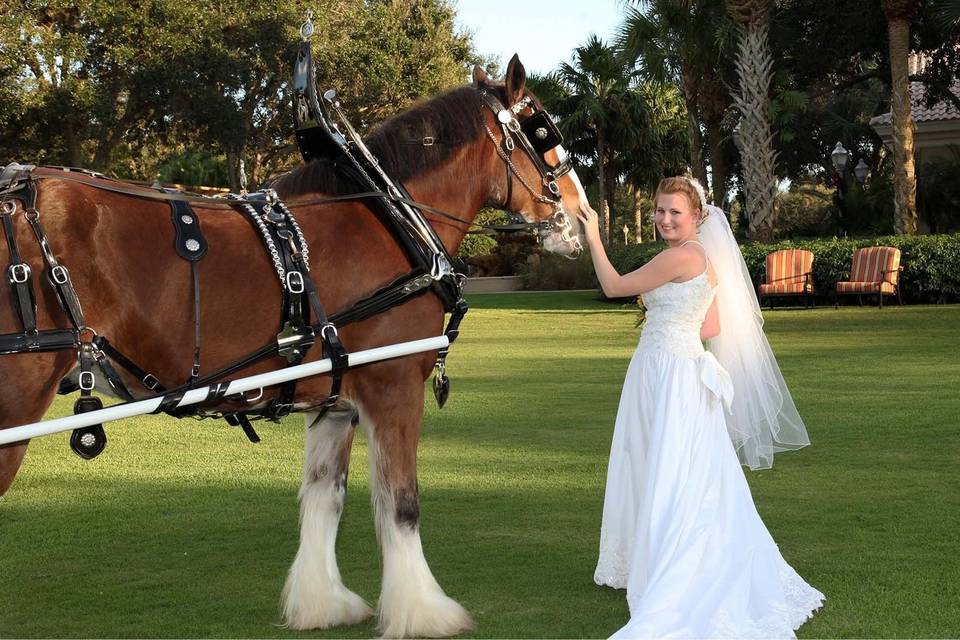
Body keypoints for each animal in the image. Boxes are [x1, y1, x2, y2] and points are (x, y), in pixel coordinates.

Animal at [0, 57, 588, 636]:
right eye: (542, 129)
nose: (584, 218)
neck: (386, 218)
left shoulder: (335, 402)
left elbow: (325, 498)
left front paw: (322, 603)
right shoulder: (394, 386)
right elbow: (401, 504)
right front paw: (425, 613)